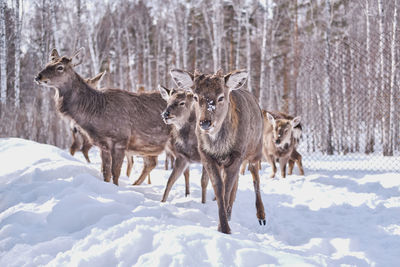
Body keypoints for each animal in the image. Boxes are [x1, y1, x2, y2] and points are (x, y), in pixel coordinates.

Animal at [35, 48, 171, 186]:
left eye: (60, 67)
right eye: (47, 64)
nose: (38, 76)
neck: (96, 113)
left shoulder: (120, 140)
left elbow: (115, 173)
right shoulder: (103, 145)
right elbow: (106, 173)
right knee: (150, 164)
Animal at [170, 69, 266, 234]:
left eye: (221, 97)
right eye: (195, 96)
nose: (205, 122)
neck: (220, 147)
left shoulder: (237, 154)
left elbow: (226, 189)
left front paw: (224, 228)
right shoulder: (206, 155)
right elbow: (219, 188)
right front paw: (223, 226)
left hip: (256, 149)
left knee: (255, 176)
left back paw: (261, 216)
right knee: (236, 185)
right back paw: (230, 214)